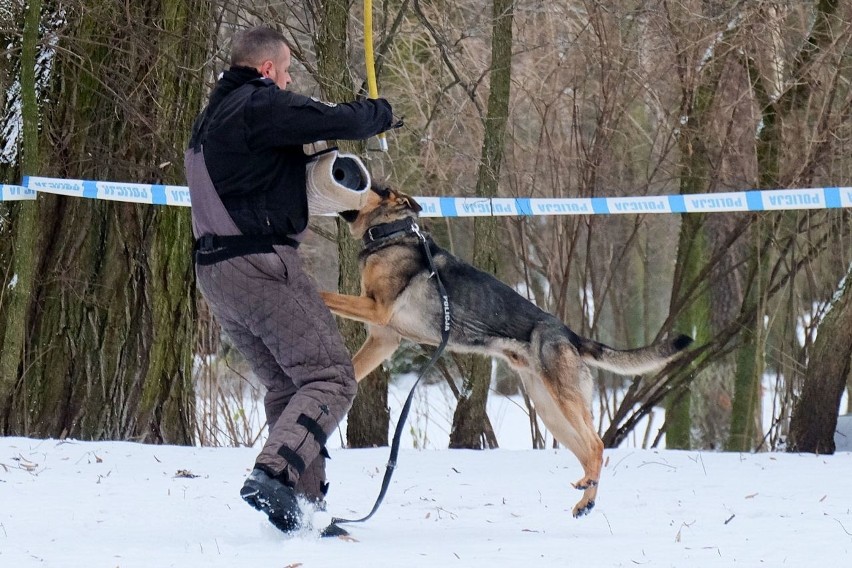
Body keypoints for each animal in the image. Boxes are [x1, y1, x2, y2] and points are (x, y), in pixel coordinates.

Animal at [322, 186, 692, 520]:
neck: (393, 233)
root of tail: (569, 334)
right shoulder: (383, 337)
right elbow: (353, 367)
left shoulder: (377, 309)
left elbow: (326, 294)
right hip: (551, 411)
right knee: (589, 450)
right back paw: (585, 501)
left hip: (563, 402)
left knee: (597, 446)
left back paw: (587, 490)